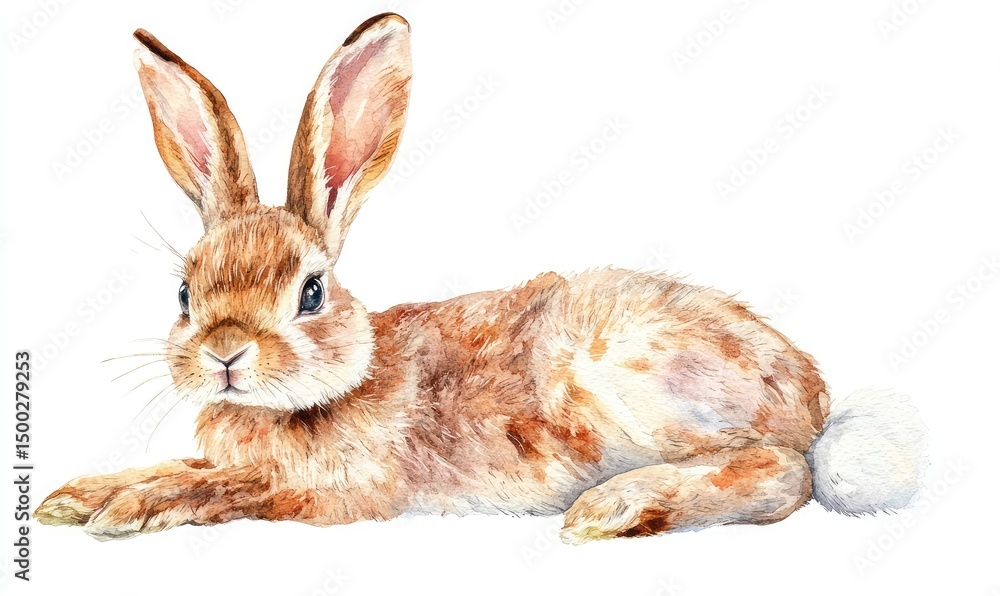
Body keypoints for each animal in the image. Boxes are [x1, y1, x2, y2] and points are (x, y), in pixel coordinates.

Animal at [35, 13, 927, 543]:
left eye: (311, 292)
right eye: (186, 293)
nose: (225, 353)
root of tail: (815, 402)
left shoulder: (335, 494)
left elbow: (225, 488)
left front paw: (126, 511)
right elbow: (186, 467)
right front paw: (76, 497)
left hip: (620, 381)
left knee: (785, 474)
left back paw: (617, 508)